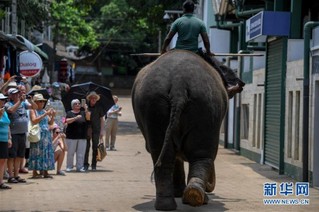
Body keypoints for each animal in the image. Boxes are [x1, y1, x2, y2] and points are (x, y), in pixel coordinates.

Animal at [131, 49, 229, 210]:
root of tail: (179, 87)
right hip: (206, 106)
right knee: (203, 155)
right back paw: (195, 197)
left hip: (155, 105)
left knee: (164, 155)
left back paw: (176, 202)